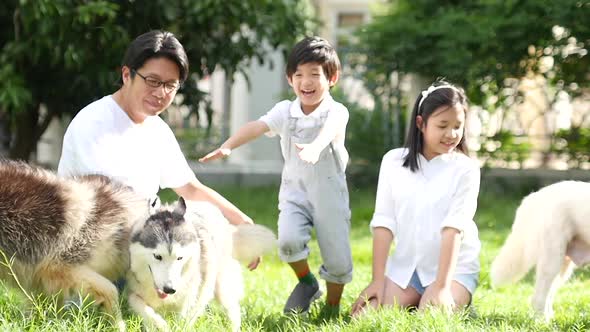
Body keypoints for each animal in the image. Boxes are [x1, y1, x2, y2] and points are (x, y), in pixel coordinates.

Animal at [128, 198, 276, 330]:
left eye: (180, 258)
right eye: (158, 256)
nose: (170, 289)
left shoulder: (188, 298)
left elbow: (182, 321)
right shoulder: (133, 290)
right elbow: (139, 305)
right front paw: (159, 324)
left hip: (219, 287)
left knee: (231, 310)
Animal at [490, 180, 590, 320]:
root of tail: (535, 196)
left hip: (561, 264)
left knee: (547, 294)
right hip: (552, 260)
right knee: (538, 297)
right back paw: (543, 322)